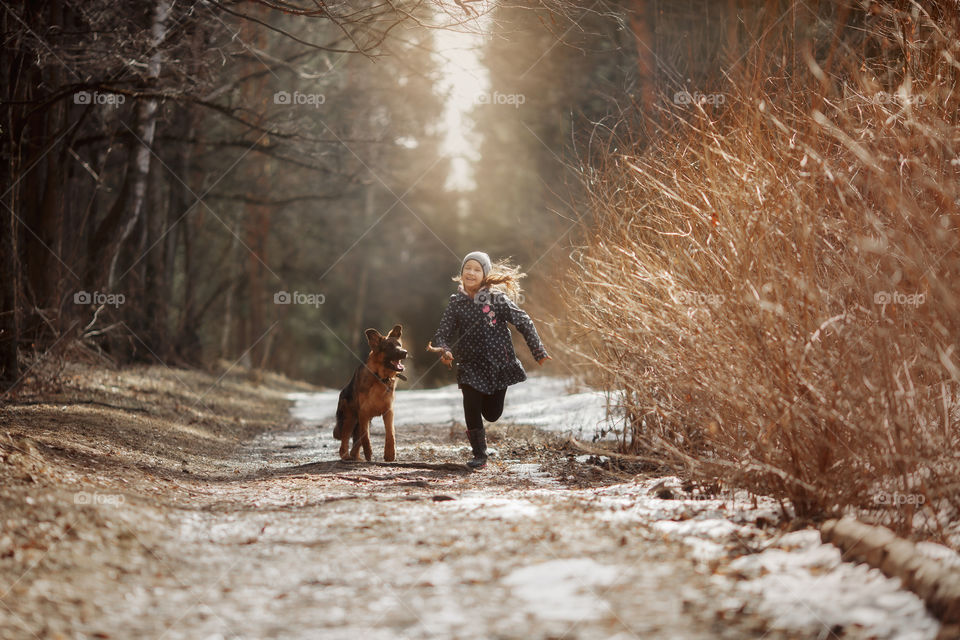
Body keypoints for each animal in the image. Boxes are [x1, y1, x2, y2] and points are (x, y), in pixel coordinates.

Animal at [332, 324, 406, 460]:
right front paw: (368, 453)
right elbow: (365, 437)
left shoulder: (388, 412)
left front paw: (390, 454)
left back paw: (356, 456)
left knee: (356, 441)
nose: (405, 352)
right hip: (350, 419)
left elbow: (390, 433)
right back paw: (346, 456)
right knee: (345, 440)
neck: (380, 377)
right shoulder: (363, 413)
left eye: (399, 345)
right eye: (389, 347)